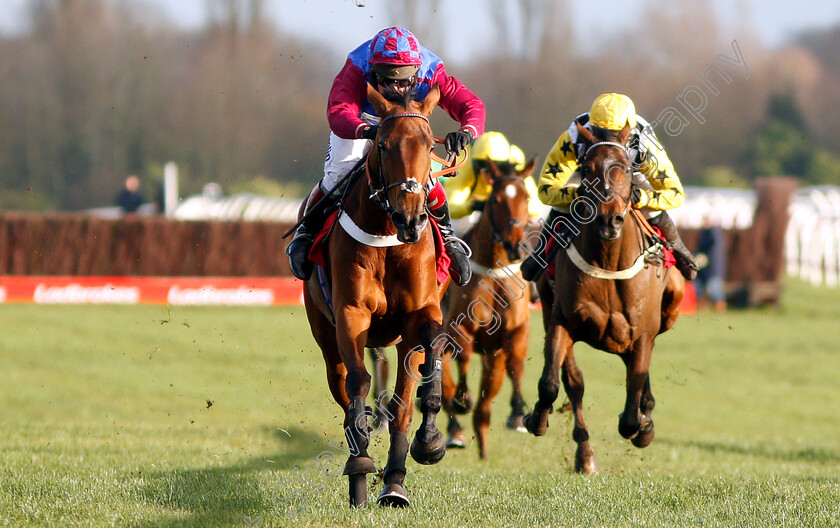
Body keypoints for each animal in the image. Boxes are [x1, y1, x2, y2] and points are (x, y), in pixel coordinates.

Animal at [300, 83, 446, 508]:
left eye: (430, 143)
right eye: (382, 143)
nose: (410, 218)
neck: (387, 234)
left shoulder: (421, 314)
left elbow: (429, 362)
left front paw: (429, 442)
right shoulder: (352, 314)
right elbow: (358, 383)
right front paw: (360, 460)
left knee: (402, 404)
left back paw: (394, 482)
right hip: (323, 333)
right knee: (343, 384)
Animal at [440, 157, 540, 458]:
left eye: (526, 197)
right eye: (495, 200)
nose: (514, 245)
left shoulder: (515, 332)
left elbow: (516, 365)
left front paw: (518, 414)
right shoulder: (457, 326)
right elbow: (462, 356)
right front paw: (463, 398)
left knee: (487, 399)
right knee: (444, 384)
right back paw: (455, 430)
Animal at [524, 124, 684, 474]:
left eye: (624, 167)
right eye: (586, 169)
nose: (609, 220)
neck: (609, 261)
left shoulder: (642, 334)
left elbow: (630, 413)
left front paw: (642, 424)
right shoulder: (562, 320)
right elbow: (552, 383)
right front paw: (537, 419)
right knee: (574, 382)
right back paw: (585, 455)